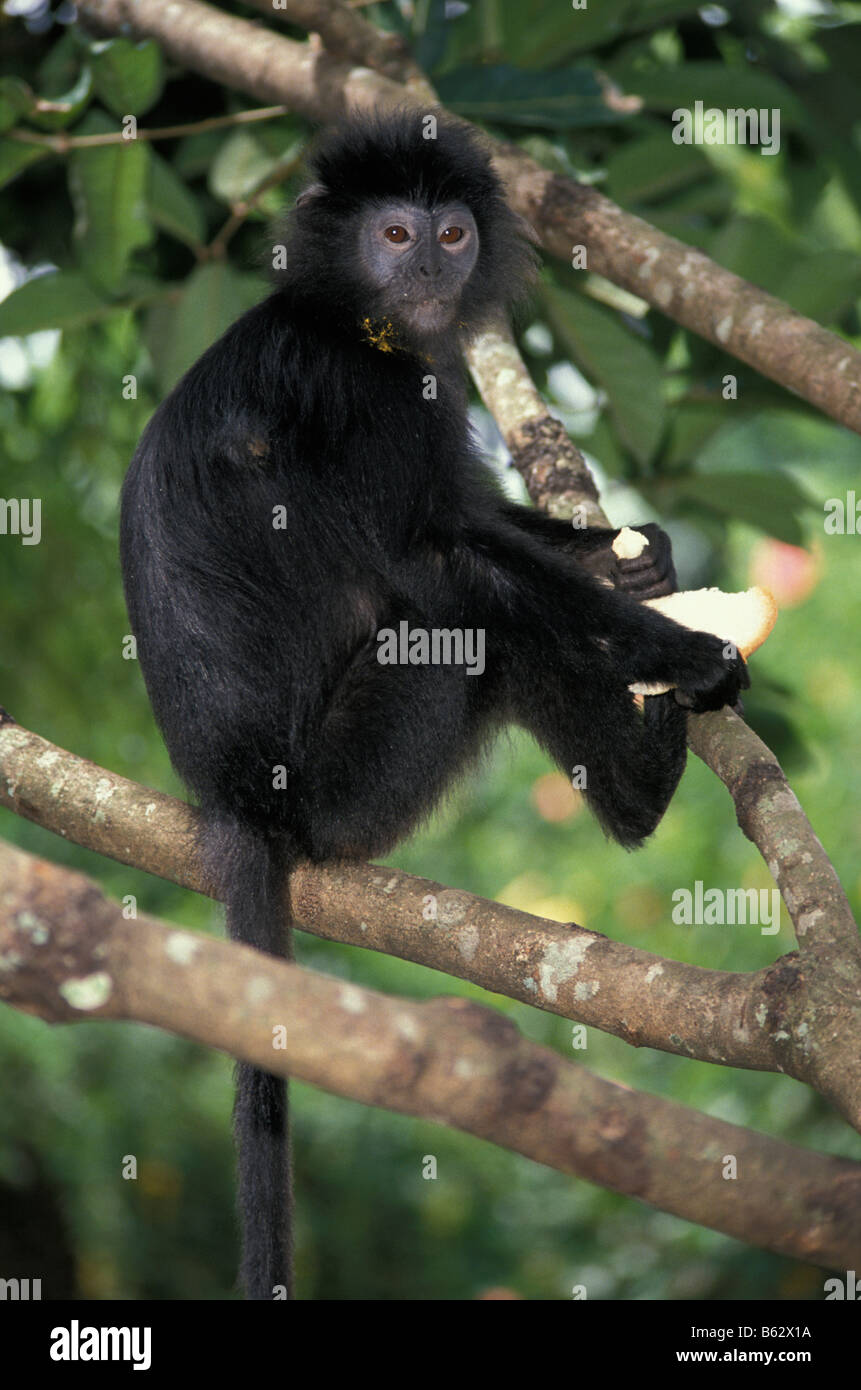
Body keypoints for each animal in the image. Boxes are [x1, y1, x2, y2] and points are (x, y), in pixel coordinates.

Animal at [119, 109, 748, 1300]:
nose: (426, 269)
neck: (352, 317)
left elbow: (474, 519)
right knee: (466, 607)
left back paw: (639, 774)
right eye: (396, 232)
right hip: (346, 781)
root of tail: (235, 797)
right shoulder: (361, 391)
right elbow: (436, 548)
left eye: (451, 233)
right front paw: (685, 649)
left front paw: (639, 557)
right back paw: (646, 764)